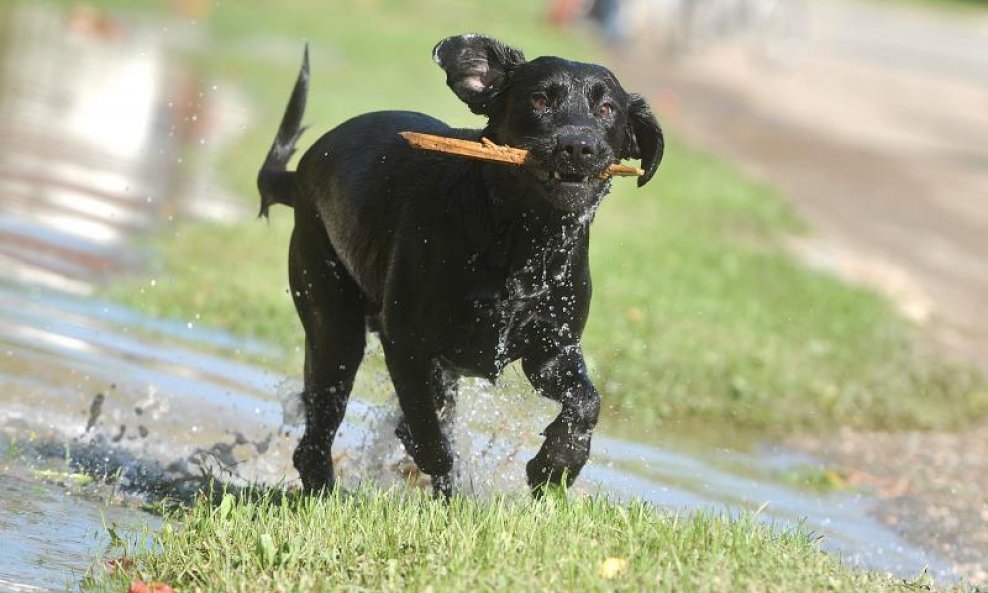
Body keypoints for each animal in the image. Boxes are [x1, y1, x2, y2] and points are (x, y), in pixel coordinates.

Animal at [258, 32, 668, 494]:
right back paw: (323, 489)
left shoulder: (550, 350)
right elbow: (427, 433)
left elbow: (586, 401)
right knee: (319, 427)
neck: (523, 242)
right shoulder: (406, 345)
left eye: (607, 109)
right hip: (333, 322)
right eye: (540, 100)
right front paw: (445, 474)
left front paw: (558, 463)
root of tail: (300, 172)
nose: (578, 146)